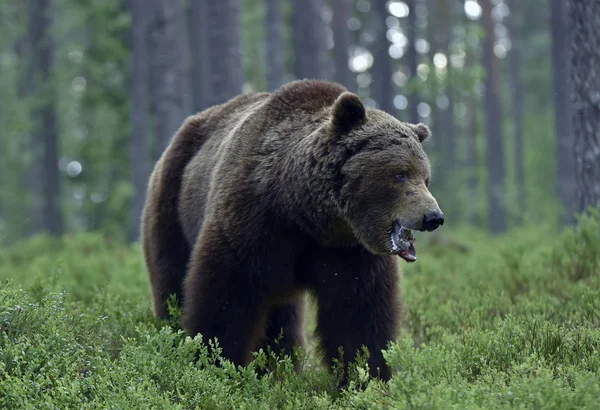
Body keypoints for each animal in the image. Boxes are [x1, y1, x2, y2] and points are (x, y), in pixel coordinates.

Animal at [139, 80, 440, 384]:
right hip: (172, 204)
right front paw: (215, 363)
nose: (433, 216)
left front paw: (366, 376)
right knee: (171, 281)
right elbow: (224, 297)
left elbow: (359, 313)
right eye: (400, 174)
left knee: (282, 320)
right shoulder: (252, 222)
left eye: (425, 178)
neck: (305, 214)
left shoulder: (348, 251)